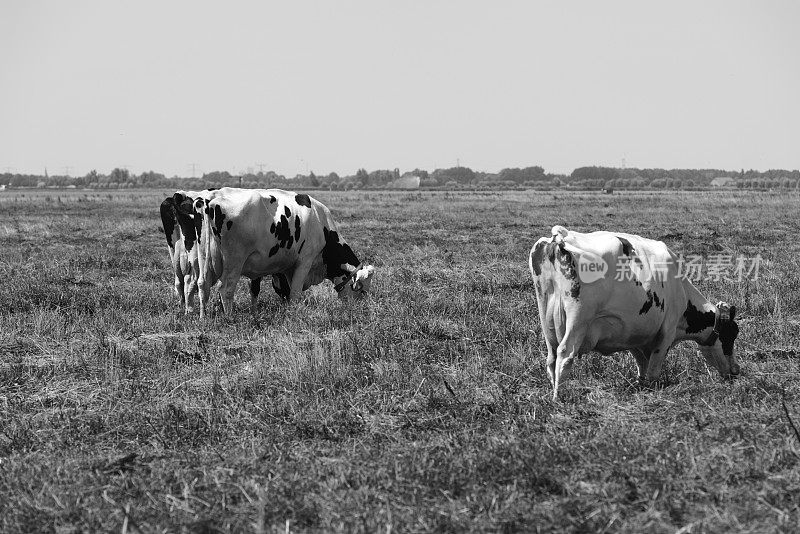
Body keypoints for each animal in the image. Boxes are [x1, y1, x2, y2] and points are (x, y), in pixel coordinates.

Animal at [191, 189, 376, 318]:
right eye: (362, 291)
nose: (359, 310)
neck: (322, 225)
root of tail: (210, 201)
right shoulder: (304, 261)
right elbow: (295, 293)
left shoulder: (288, 267)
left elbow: (288, 291)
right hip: (234, 261)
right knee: (226, 289)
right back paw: (229, 318)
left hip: (205, 259)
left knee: (202, 284)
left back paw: (202, 317)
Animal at [528, 226, 740, 402]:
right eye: (730, 336)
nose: (736, 371)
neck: (681, 290)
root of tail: (560, 238)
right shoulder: (666, 332)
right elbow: (654, 368)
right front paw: (652, 390)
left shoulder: (635, 335)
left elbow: (642, 364)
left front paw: (641, 385)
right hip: (578, 322)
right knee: (565, 356)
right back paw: (558, 398)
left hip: (546, 318)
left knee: (551, 358)